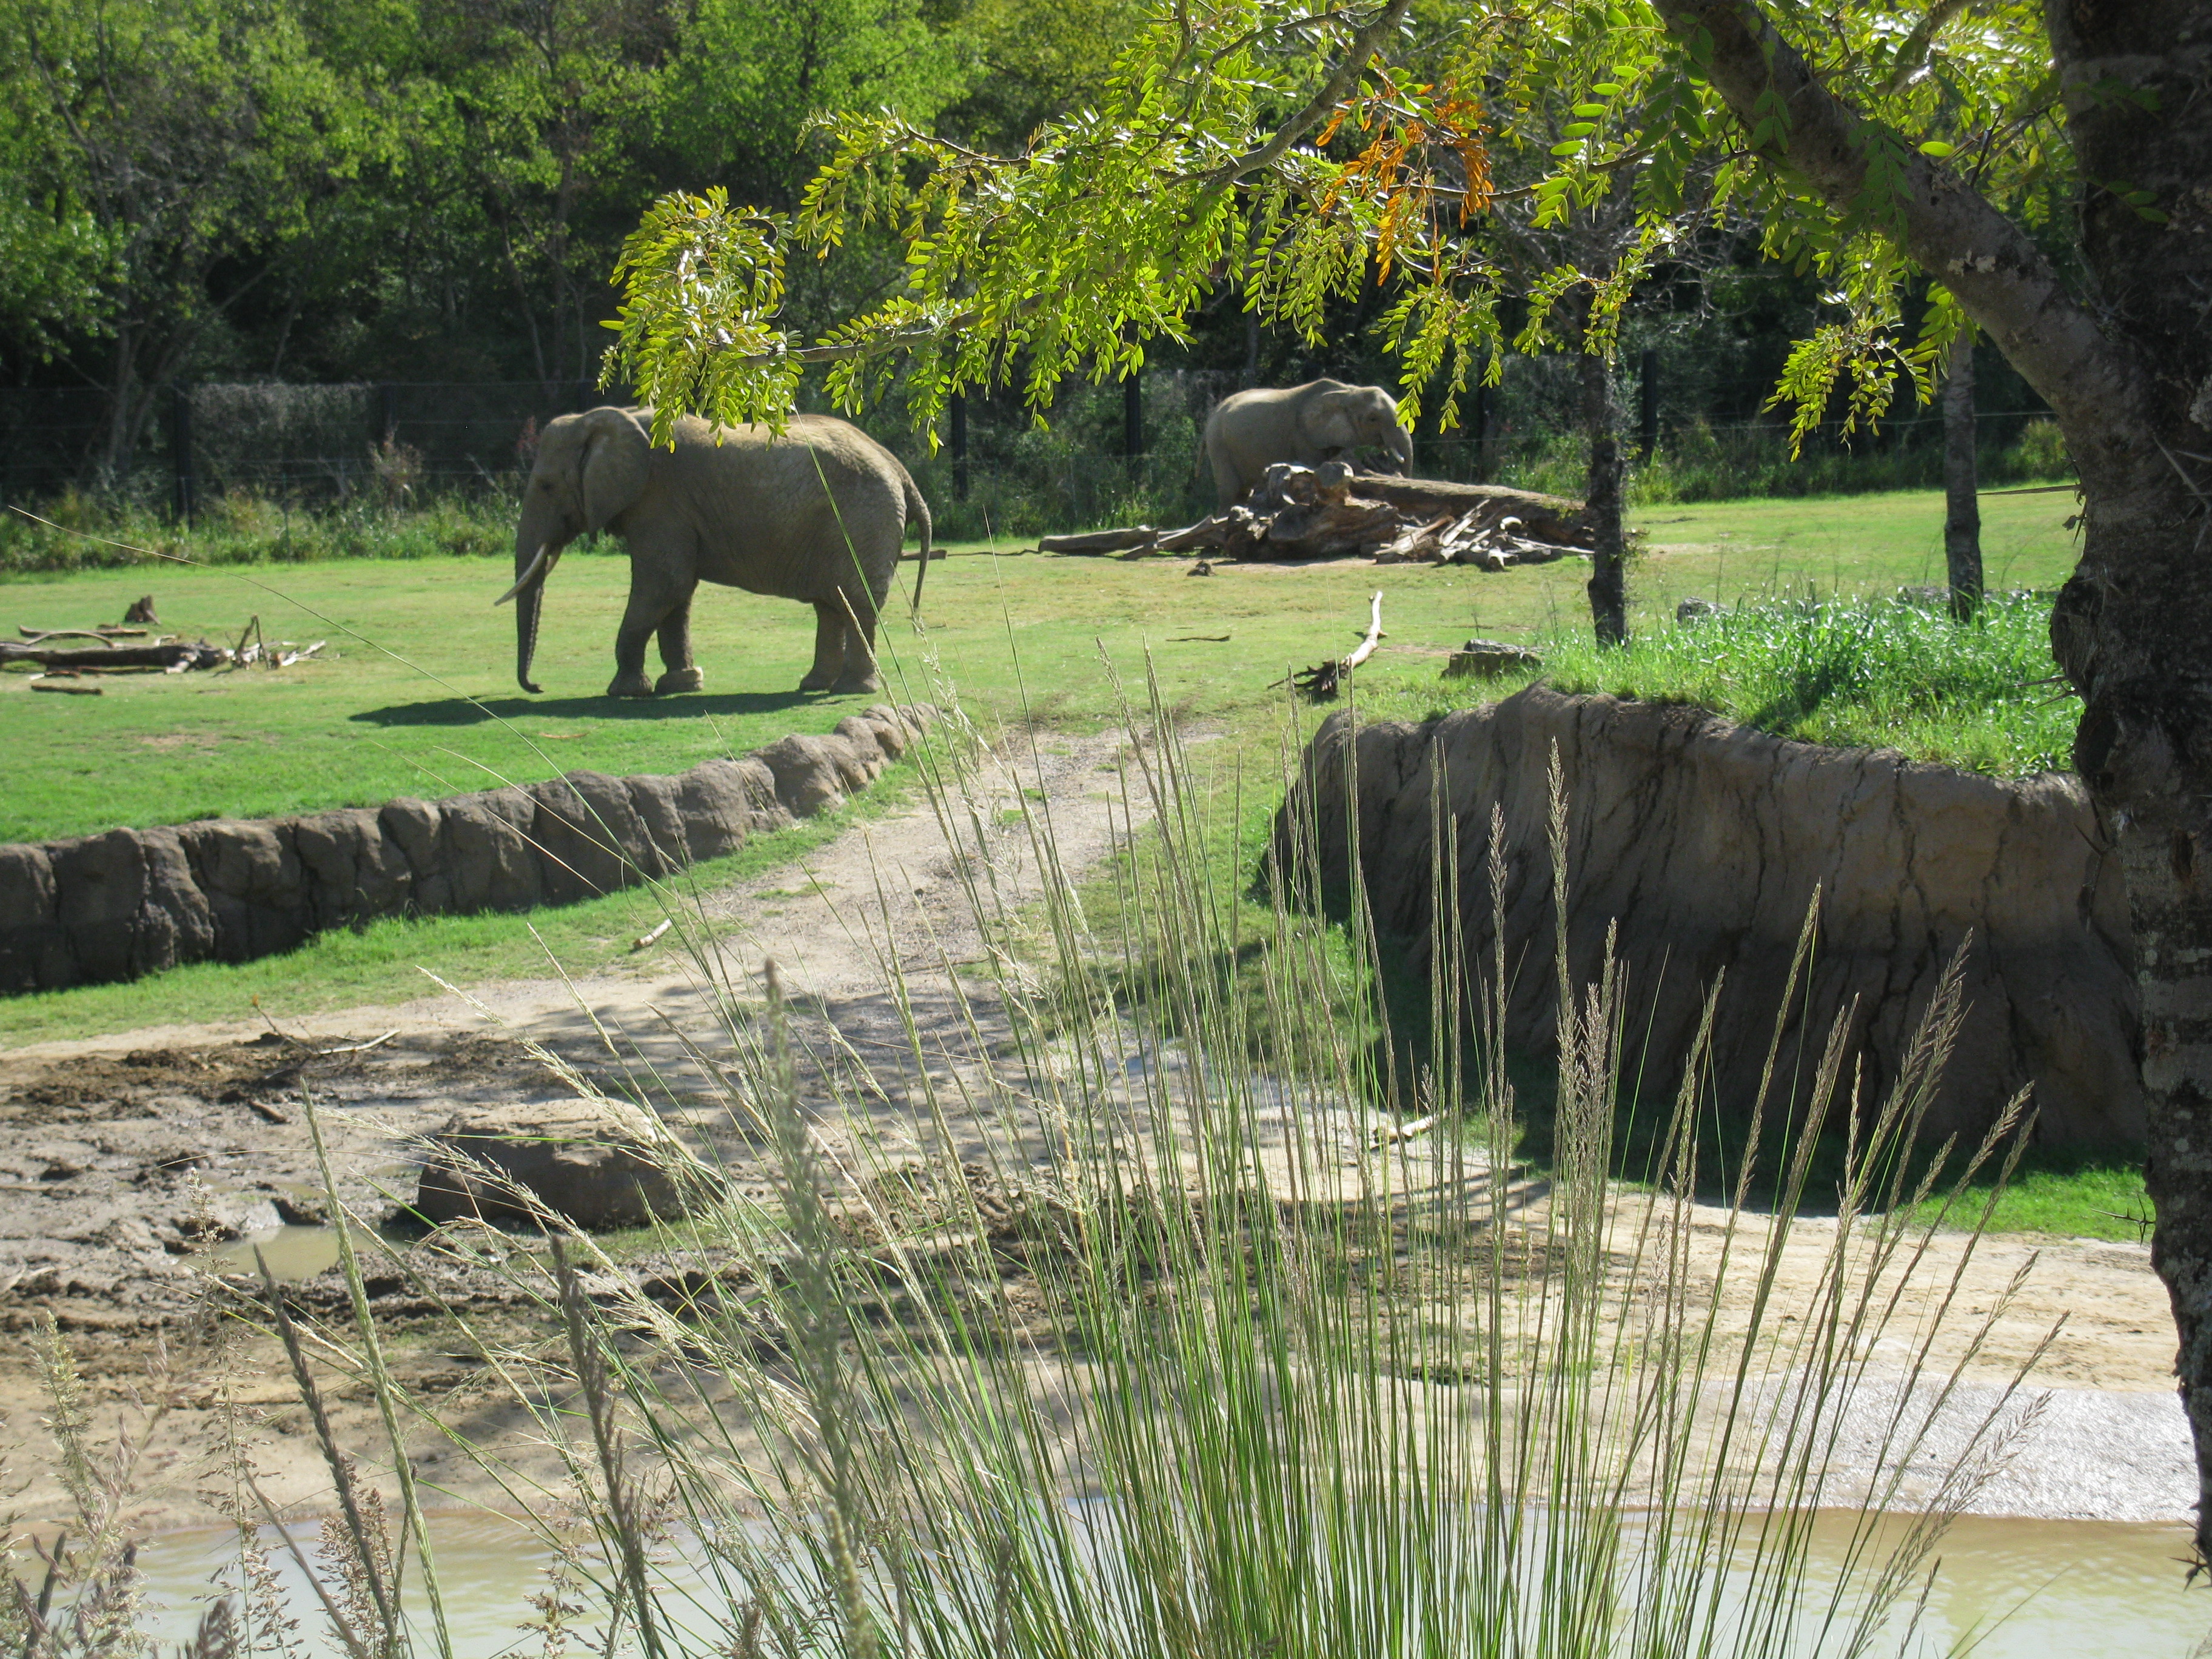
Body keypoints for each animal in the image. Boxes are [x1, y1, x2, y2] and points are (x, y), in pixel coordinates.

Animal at [504, 407, 933, 699]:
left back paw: (851, 690)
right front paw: (682, 684)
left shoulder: (660, 500)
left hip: (864, 518)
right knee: (831, 604)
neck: (602, 420)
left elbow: (665, 584)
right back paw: (814, 685)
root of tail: (899, 468)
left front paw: (625, 692)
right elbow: (676, 593)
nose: (538, 686)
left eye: (546, 486)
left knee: (856, 602)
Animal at [1203, 380, 1407, 511]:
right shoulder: (1302, 436)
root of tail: (1214, 412)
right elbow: (1314, 466)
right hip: (1218, 443)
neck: (1348, 392)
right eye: (1373, 419)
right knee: (1230, 492)